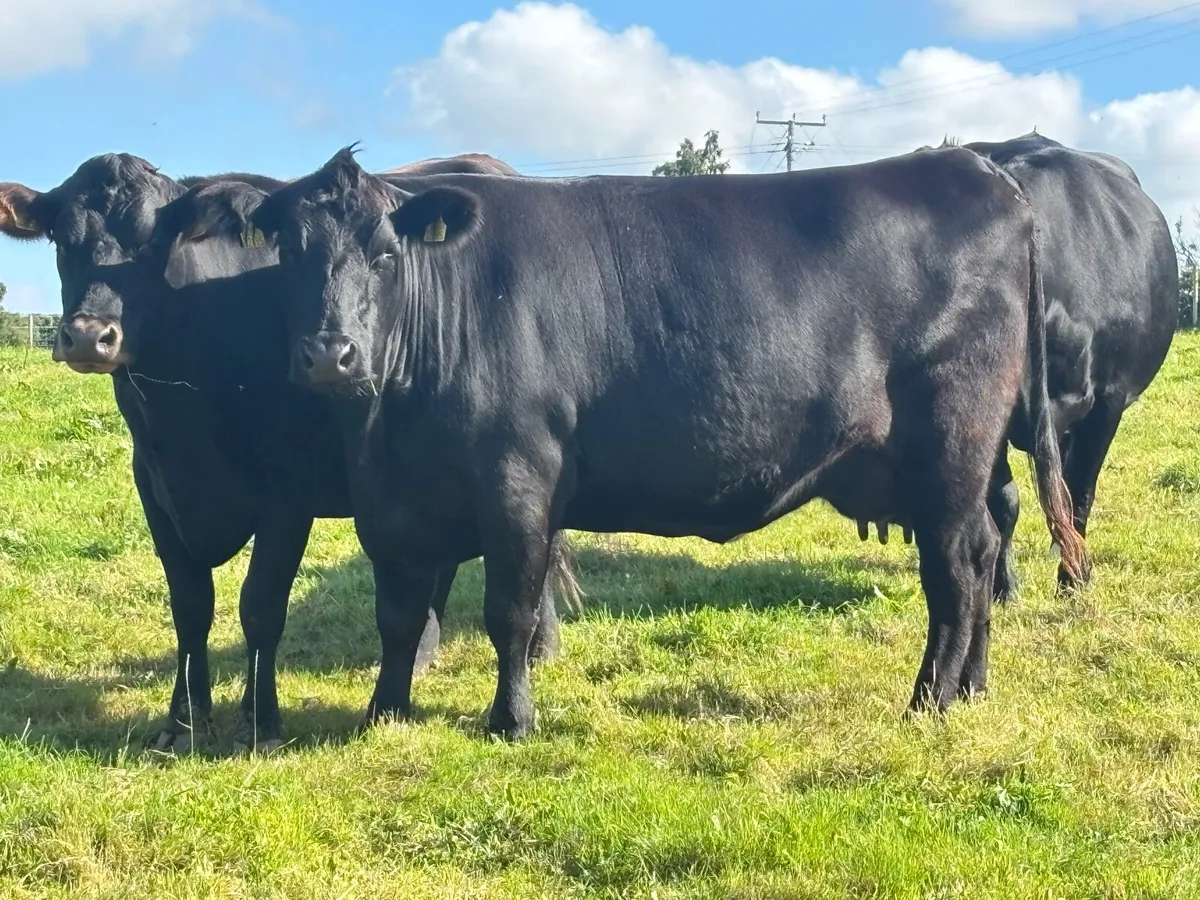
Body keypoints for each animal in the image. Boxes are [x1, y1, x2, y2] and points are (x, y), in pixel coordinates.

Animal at [0, 152, 580, 754]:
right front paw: (183, 722)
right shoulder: (155, 488)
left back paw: (540, 647)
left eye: (152, 243)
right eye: (62, 241)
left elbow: (260, 605)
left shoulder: (286, 495)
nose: (90, 337)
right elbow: (190, 606)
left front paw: (259, 722)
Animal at [143, 145, 1091, 741]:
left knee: (956, 570)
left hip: (951, 443)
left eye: (384, 252)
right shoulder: (396, 500)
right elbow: (399, 613)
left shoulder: (518, 480)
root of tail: (976, 167)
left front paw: (510, 720)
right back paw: (970, 687)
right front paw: (386, 711)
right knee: (980, 553)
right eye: (291, 252)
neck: (391, 416)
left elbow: (510, 610)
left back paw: (929, 702)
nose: (329, 354)